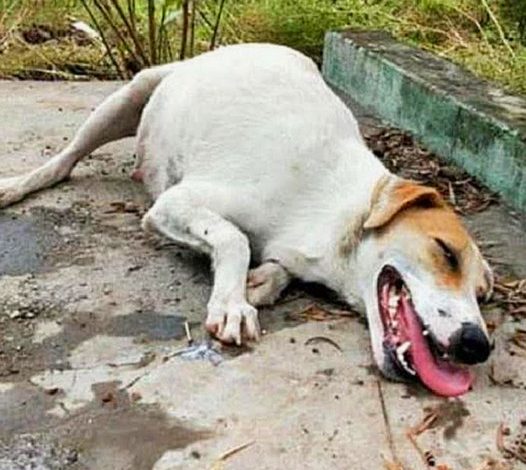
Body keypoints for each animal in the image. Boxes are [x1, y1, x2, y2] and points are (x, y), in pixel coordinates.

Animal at [0, 44, 496, 396]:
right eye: (445, 252)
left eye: (481, 294)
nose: (478, 345)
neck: (339, 209)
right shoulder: (174, 203)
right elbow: (233, 238)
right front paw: (231, 301)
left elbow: (273, 266)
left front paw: (261, 282)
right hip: (129, 94)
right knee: (63, 162)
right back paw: (17, 184)